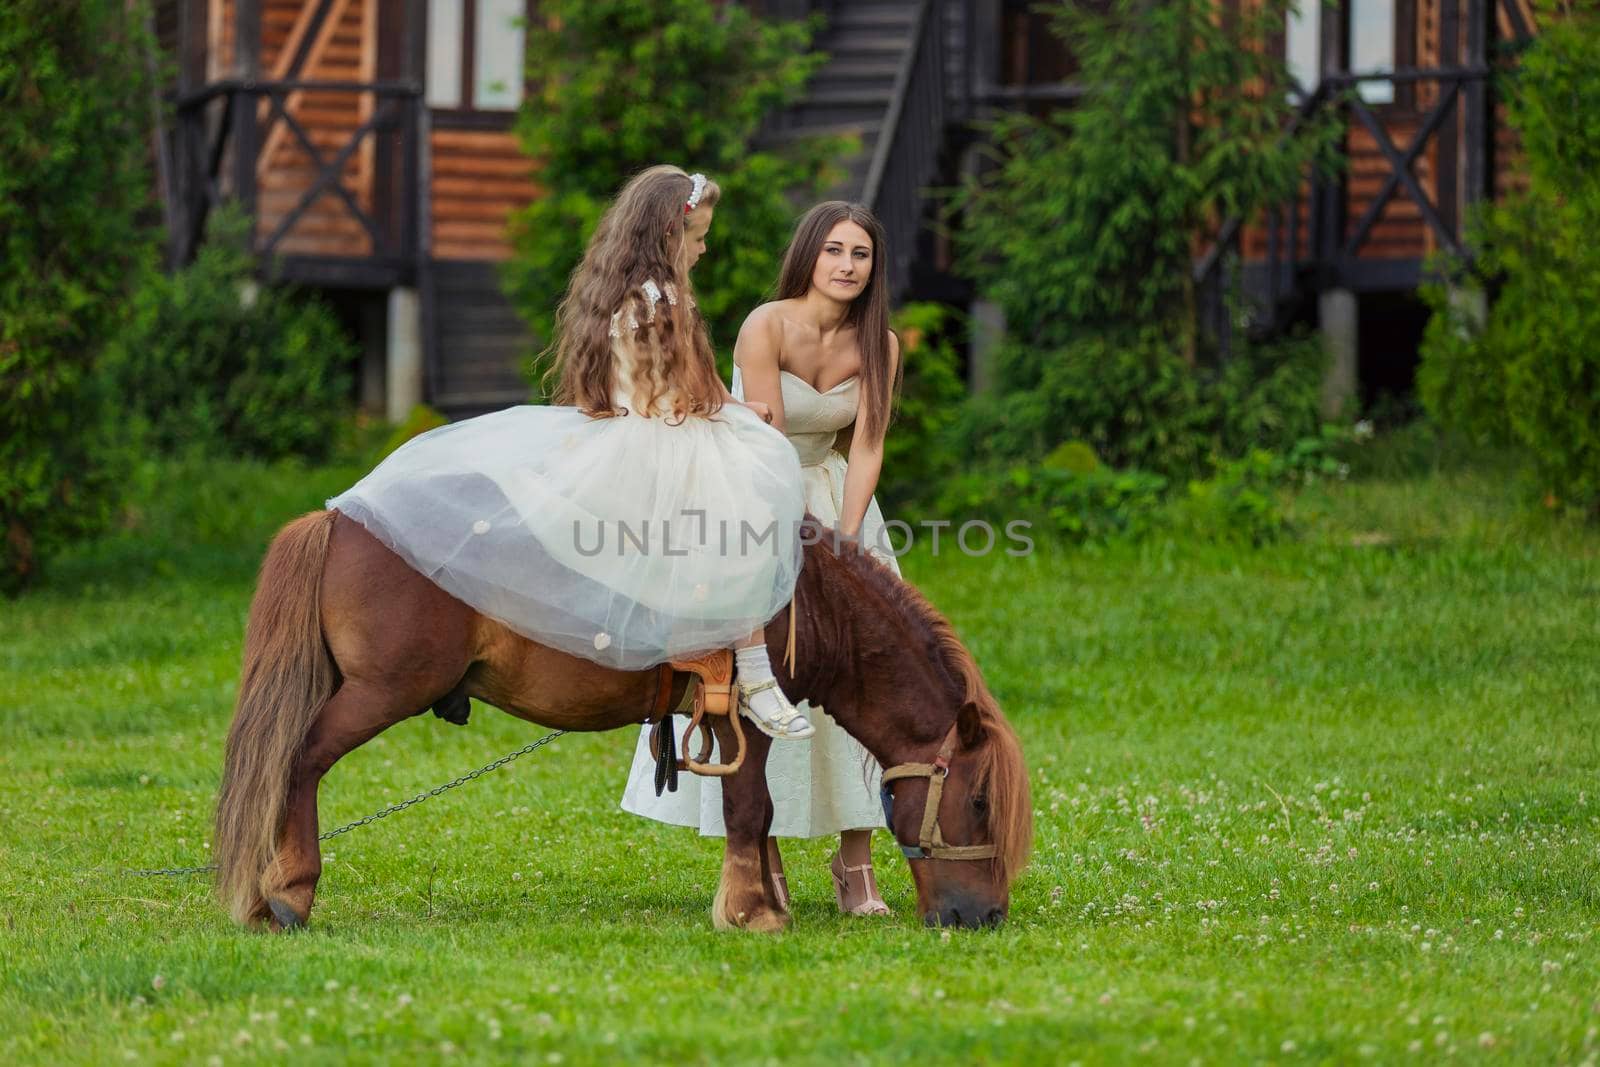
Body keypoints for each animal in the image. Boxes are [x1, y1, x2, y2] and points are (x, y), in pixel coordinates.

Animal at [216, 511, 1036, 927]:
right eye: (980, 802)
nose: (986, 915)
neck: (813, 597)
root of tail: (336, 519)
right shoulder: (751, 720)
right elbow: (751, 810)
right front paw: (753, 912)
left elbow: (753, 814)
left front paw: (756, 899)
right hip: (380, 693)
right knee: (297, 763)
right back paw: (288, 894)